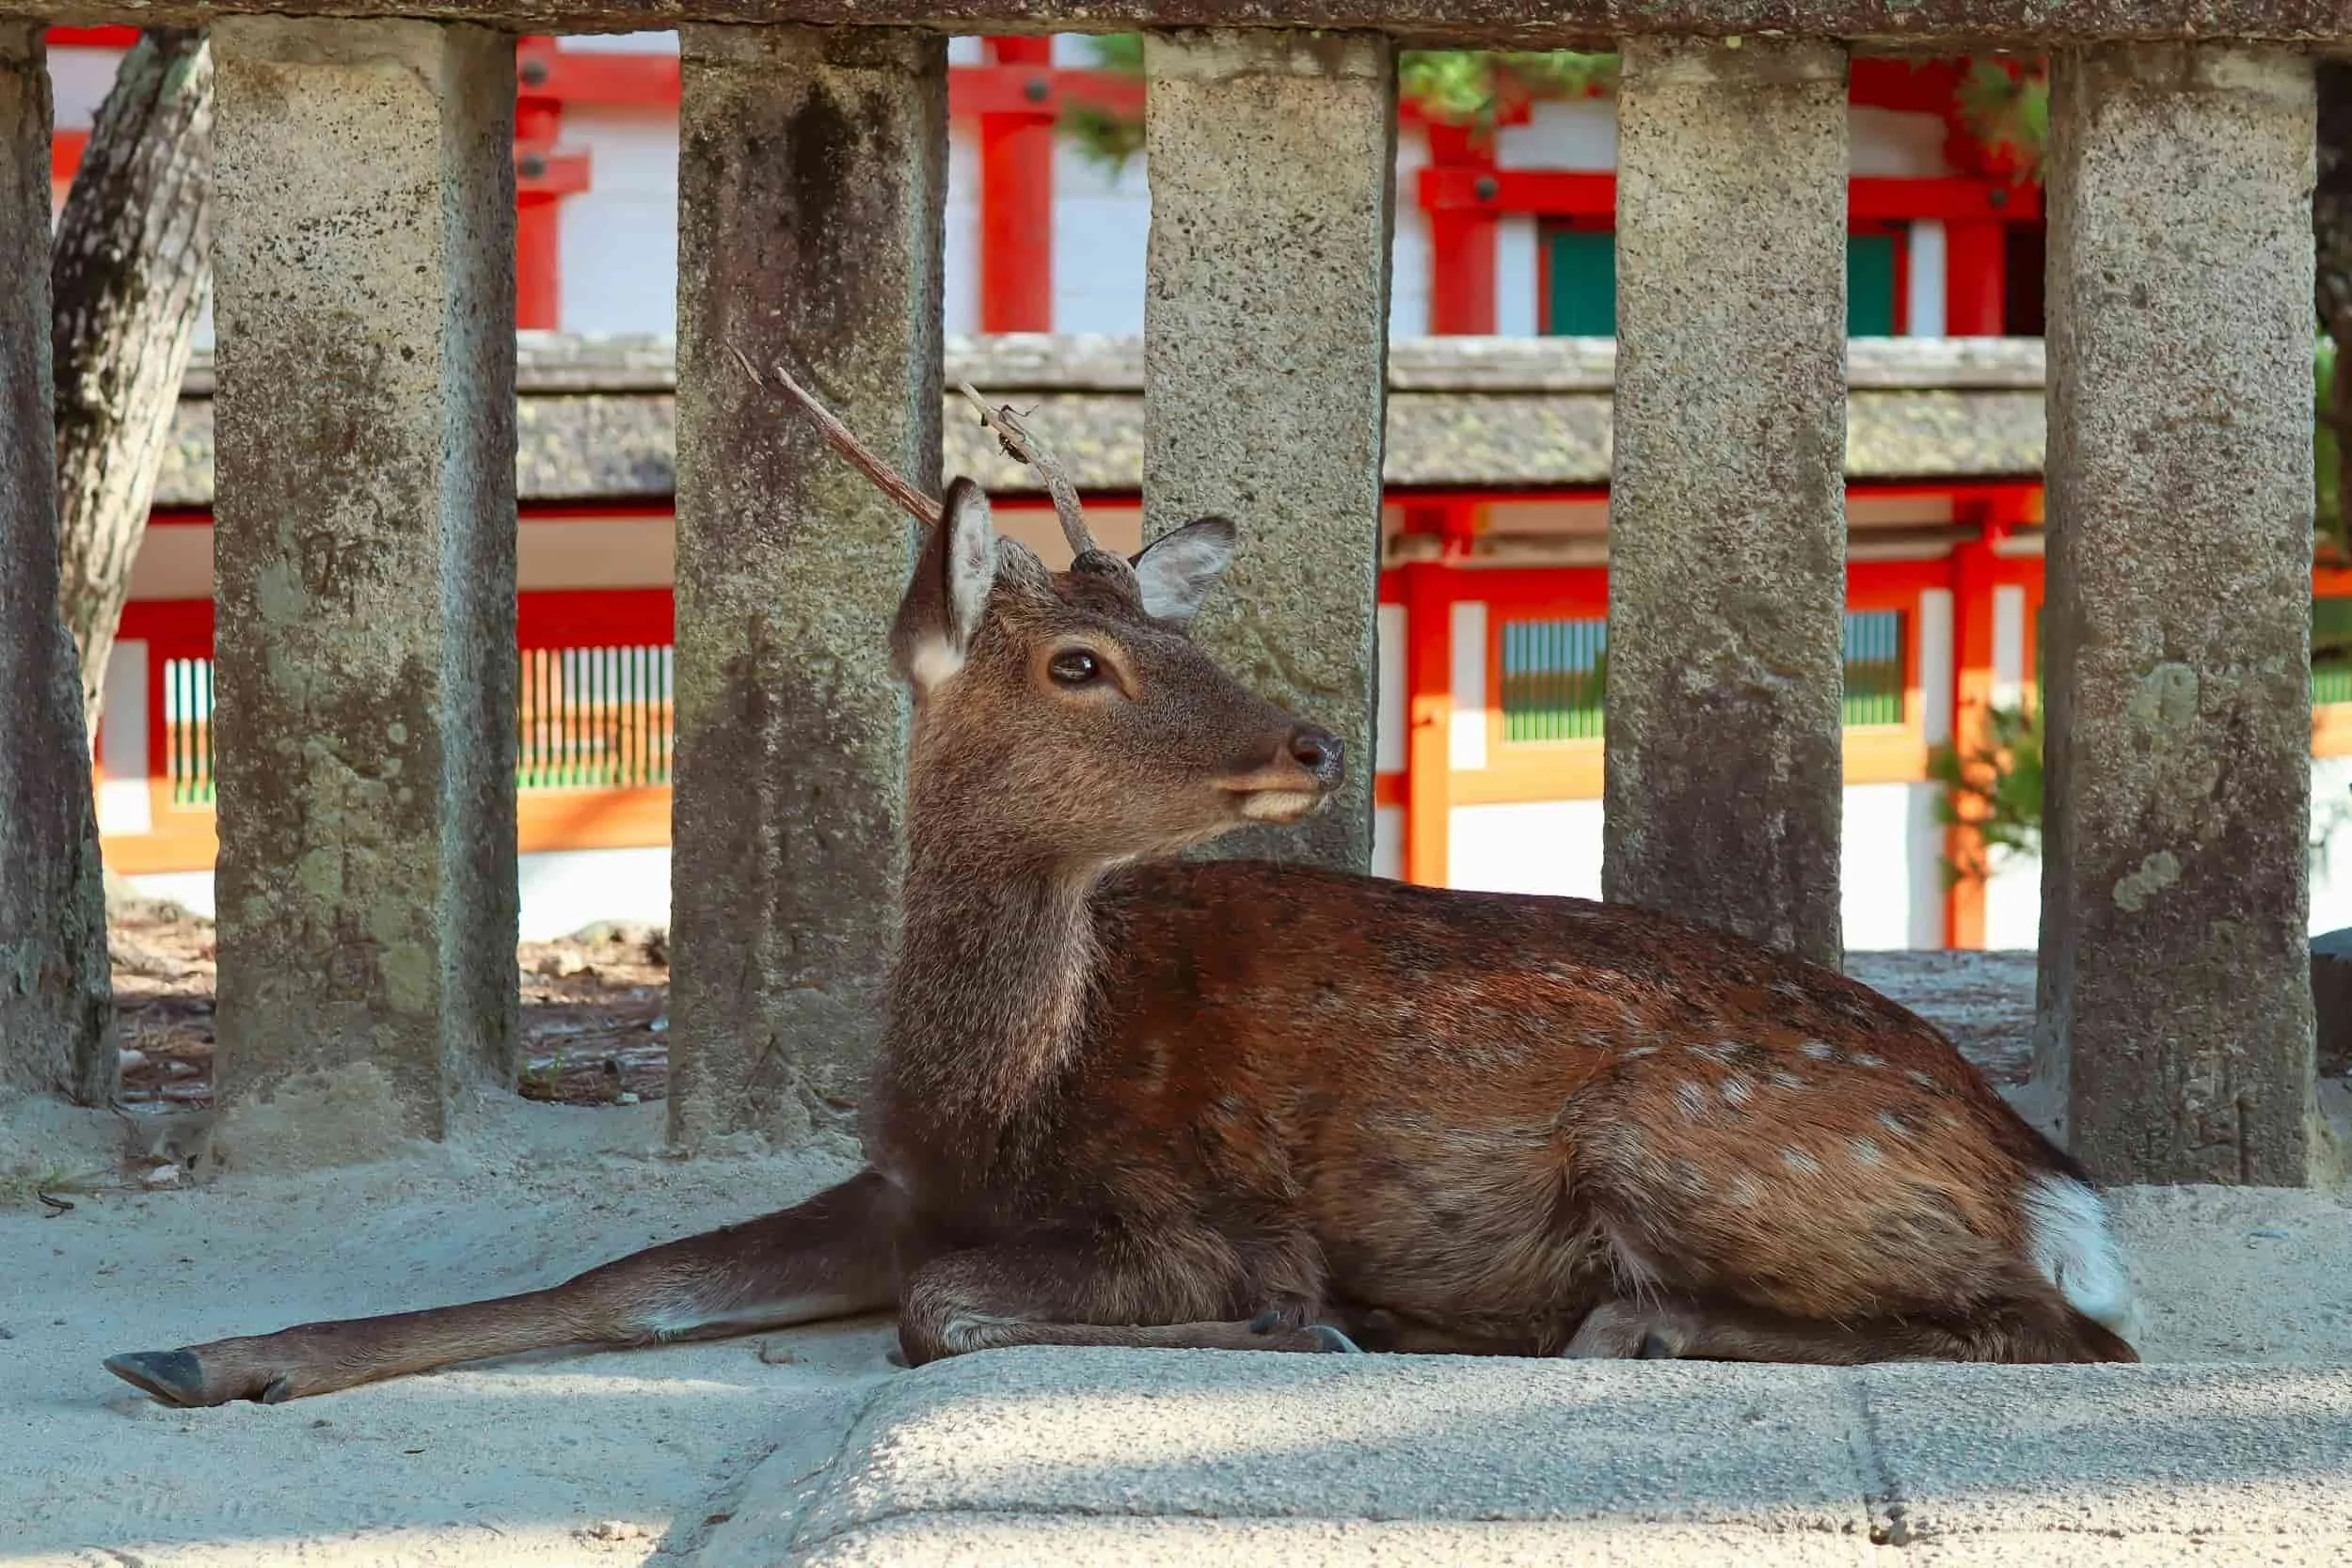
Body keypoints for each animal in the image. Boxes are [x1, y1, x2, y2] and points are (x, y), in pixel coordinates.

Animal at [100, 365, 2141, 1411]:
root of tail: (2050, 1175)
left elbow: (945, 1314)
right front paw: (197, 1351)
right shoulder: (894, 1183)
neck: (997, 1093)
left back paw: (1637, 1323)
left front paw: (1317, 1322)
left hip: (1686, 1134)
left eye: (1173, 627)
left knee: (2063, 1331)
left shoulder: (1205, 1203)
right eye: (1080, 659)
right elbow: (621, 1283)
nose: (1311, 734)